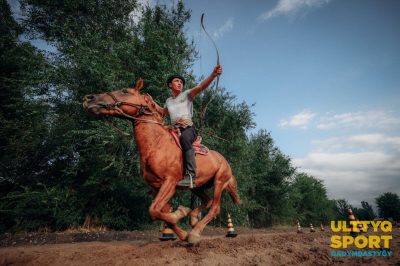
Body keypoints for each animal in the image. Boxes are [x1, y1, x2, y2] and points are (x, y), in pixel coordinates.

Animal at [82, 78, 241, 243]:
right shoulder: (154, 187)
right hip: (198, 186)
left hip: (219, 182)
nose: (88, 98)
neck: (156, 144)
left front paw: (180, 214)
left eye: (124, 91)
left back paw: (195, 232)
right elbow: (160, 213)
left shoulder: (169, 183)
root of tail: (224, 161)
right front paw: (182, 230)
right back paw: (193, 220)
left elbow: (154, 211)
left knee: (215, 207)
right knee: (208, 201)